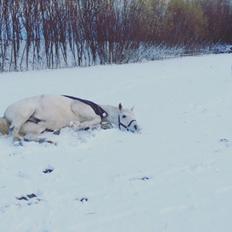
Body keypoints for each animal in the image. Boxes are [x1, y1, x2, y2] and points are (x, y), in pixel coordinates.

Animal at [0, 94, 140, 143]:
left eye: (135, 116)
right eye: (124, 116)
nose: (137, 127)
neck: (100, 110)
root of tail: (6, 113)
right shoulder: (78, 106)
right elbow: (96, 119)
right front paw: (77, 125)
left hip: (38, 127)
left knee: (28, 135)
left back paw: (46, 139)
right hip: (24, 113)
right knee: (14, 131)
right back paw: (18, 140)